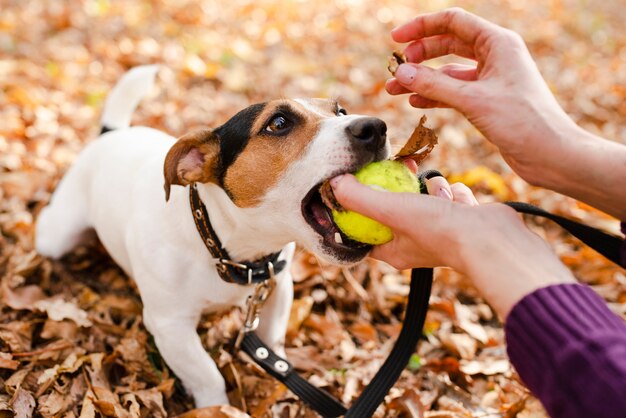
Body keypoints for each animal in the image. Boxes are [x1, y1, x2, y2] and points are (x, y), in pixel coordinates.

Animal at [34, 66, 388, 408]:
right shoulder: (169, 325)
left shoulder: (278, 286)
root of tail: (113, 133)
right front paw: (218, 407)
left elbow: (273, 341)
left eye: (341, 110)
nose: (376, 127)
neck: (222, 245)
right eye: (279, 123)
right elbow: (207, 374)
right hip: (56, 236)